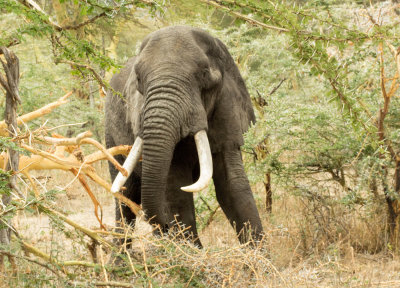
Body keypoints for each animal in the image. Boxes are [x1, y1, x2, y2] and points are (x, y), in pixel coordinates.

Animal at [104, 25, 264, 248]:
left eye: (204, 75)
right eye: (139, 80)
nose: (165, 224)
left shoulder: (227, 111)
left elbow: (233, 186)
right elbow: (176, 191)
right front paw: (192, 254)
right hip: (110, 134)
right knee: (126, 197)